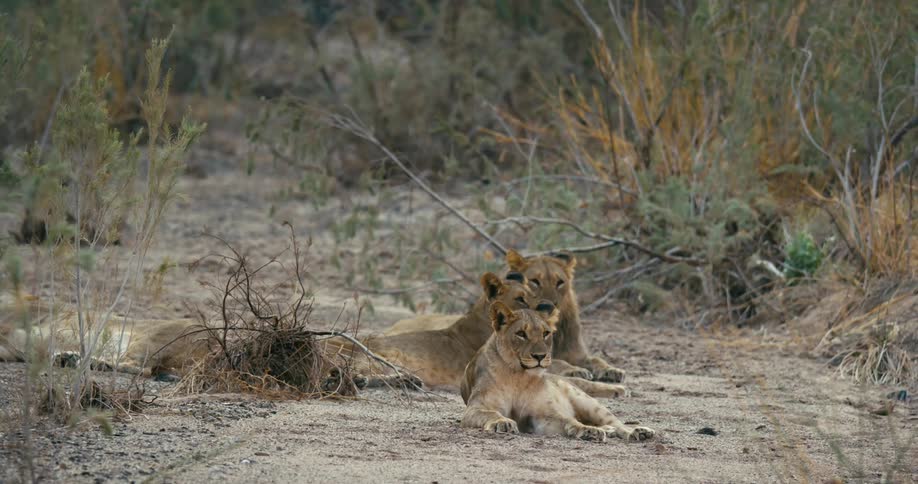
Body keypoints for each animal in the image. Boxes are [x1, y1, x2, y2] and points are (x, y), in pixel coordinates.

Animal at [460, 301, 654, 442]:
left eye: (546, 333)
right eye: (521, 333)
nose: (540, 356)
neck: (519, 376)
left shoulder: (542, 415)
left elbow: (568, 420)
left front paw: (587, 431)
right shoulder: (475, 408)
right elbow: (491, 413)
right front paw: (502, 422)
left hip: (588, 403)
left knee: (616, 422)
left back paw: (638, 432)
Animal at [505, 249, 626, 383]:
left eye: (560, 283)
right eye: (535, 281)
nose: (551, 304)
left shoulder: (576, 354)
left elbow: (596, 359)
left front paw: (611, 369)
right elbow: (558, 362)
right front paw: (576, 370)